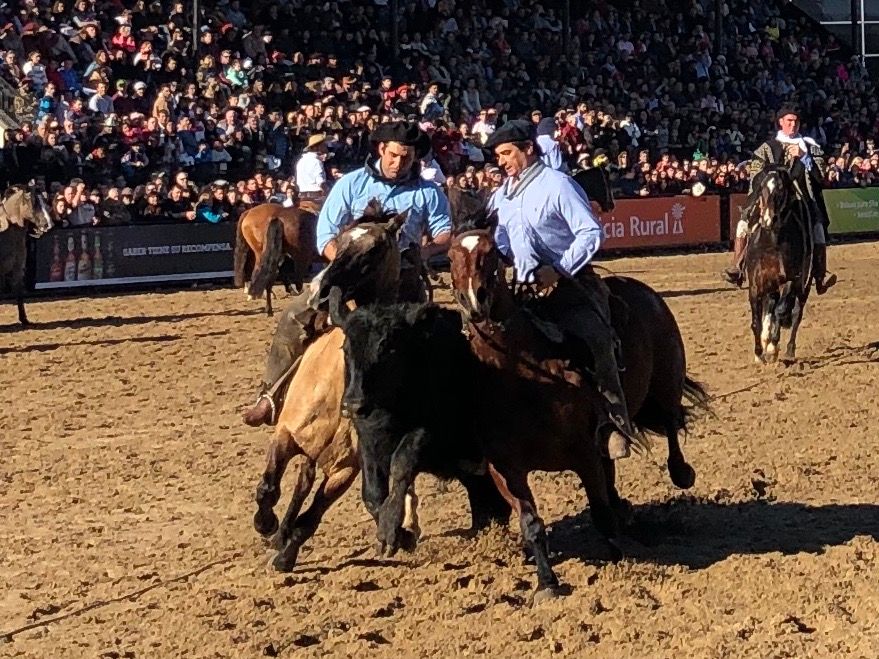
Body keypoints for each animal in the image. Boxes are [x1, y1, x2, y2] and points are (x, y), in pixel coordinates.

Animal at [0, 187, 52, 326]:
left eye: (45, 200)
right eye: (32, 201)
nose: (48, 224)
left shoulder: (18, 268)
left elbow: (19, 291)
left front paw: (24, 319)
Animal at [744, 163, 816, 364]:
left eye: (782, 189)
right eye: (761, 187)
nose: (769, 219)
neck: (772, 244)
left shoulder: (792, 279)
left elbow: (781, 310)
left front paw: (771, 348)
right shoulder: (755, 285)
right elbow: (756, 321)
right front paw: (759, 353)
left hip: (804, 286)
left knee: (795, 312)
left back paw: (788, 349)